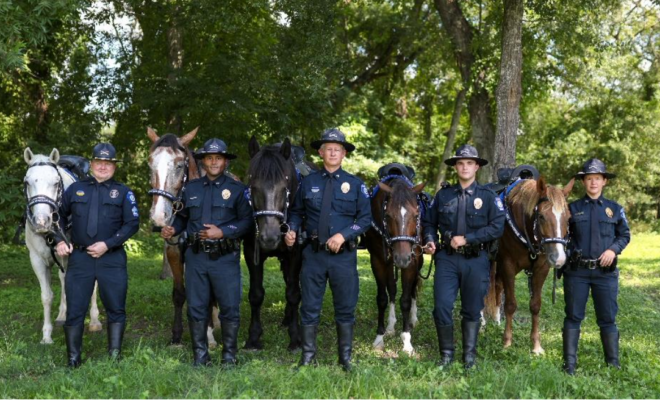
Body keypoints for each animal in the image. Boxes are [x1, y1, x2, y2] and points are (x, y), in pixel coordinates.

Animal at [23, 147, 101, 344]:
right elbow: (47, 296)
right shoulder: (37, 260)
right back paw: (61, 315)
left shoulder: (69, 256)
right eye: (27, 182)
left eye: (56, 182)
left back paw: (94, 320)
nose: (41, 221)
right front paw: (47, 335)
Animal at [146, 129, 219, 346]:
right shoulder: (174, 252)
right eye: (150, 164)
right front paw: (176, 336)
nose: (159, 215)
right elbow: (179, 294)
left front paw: (209, 335)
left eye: (179, 165)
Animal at [364, 173, 426, 354]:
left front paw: (406, 341)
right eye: (388, 216)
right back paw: (391, 325)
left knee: (413, 290)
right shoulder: (377, 260)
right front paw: (380, 337)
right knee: (391, 288)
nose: (402, 258)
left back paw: (413, 319)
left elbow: (405, 300)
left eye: (416, 215)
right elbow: (382, 298)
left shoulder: (412, 262)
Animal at [482, 177, 576, 354]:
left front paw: (536, 345)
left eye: (568, 218)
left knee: (497, 285)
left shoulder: (541, 268)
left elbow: (535, 305)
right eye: (541, 216)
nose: (559, 258)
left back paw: (496, 321)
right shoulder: (508, 265)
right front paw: (507, 342)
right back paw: (482, 324)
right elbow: (510, 304)